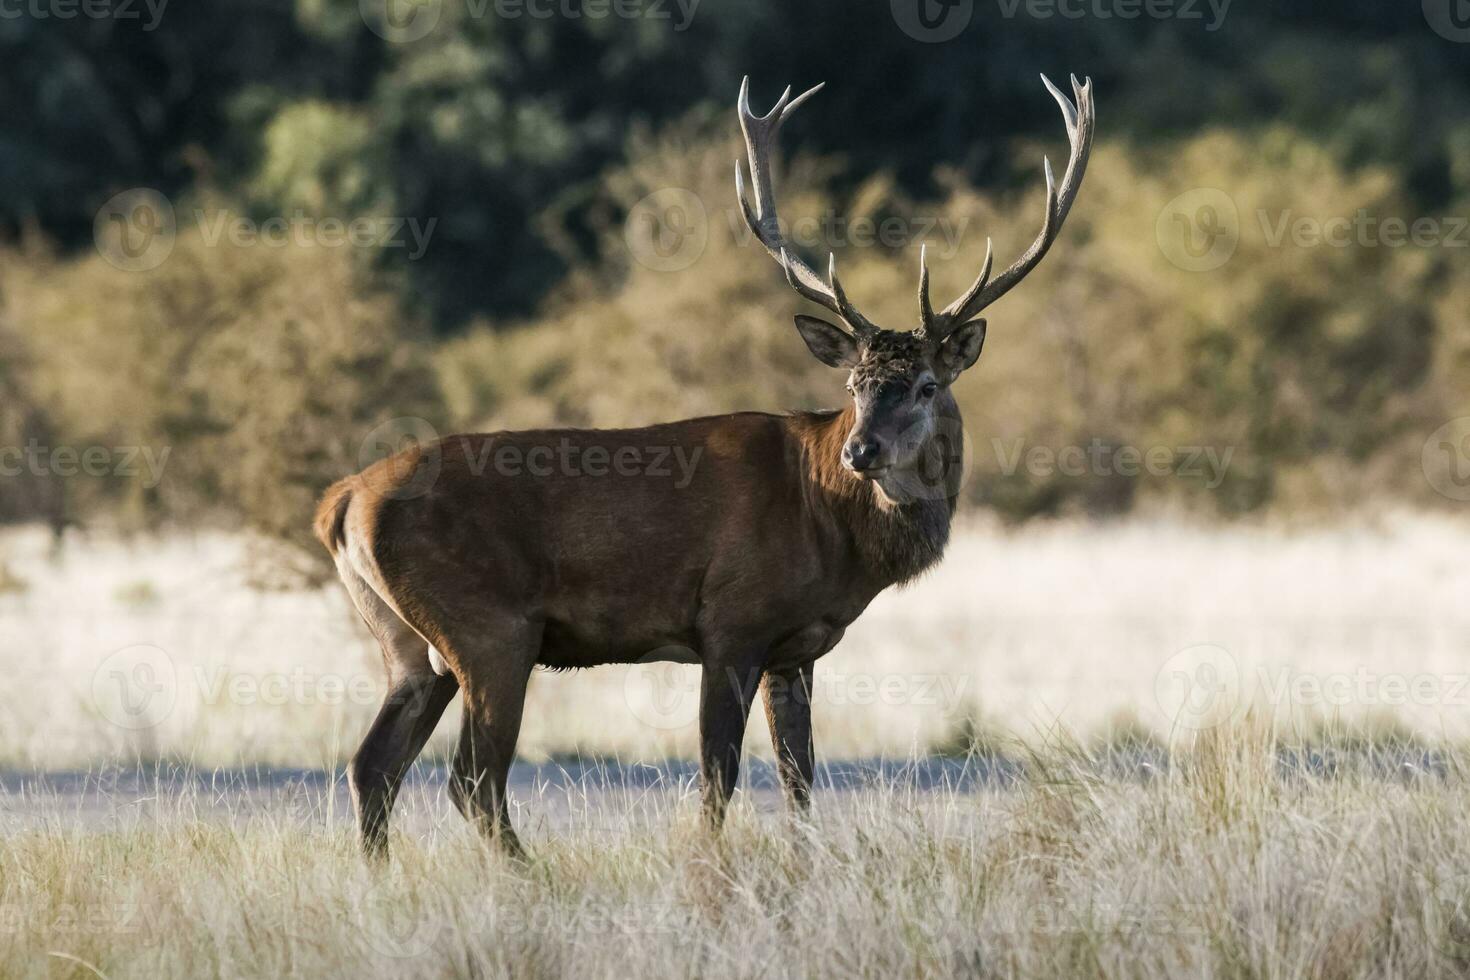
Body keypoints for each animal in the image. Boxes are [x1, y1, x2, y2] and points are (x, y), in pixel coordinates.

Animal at [313, 74, 1093, 858]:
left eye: (927, 385)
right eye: (854, 386)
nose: (861, 450)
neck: (827, 522)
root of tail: (341, 501)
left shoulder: (796, 647)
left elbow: (799, 777)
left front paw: (802, 861)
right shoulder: (730, 620)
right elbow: (718, 774)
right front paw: (713, 865)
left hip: (409, 644)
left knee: (372, 765)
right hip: (488, 630)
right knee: (471, 777)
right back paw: (534, 873)